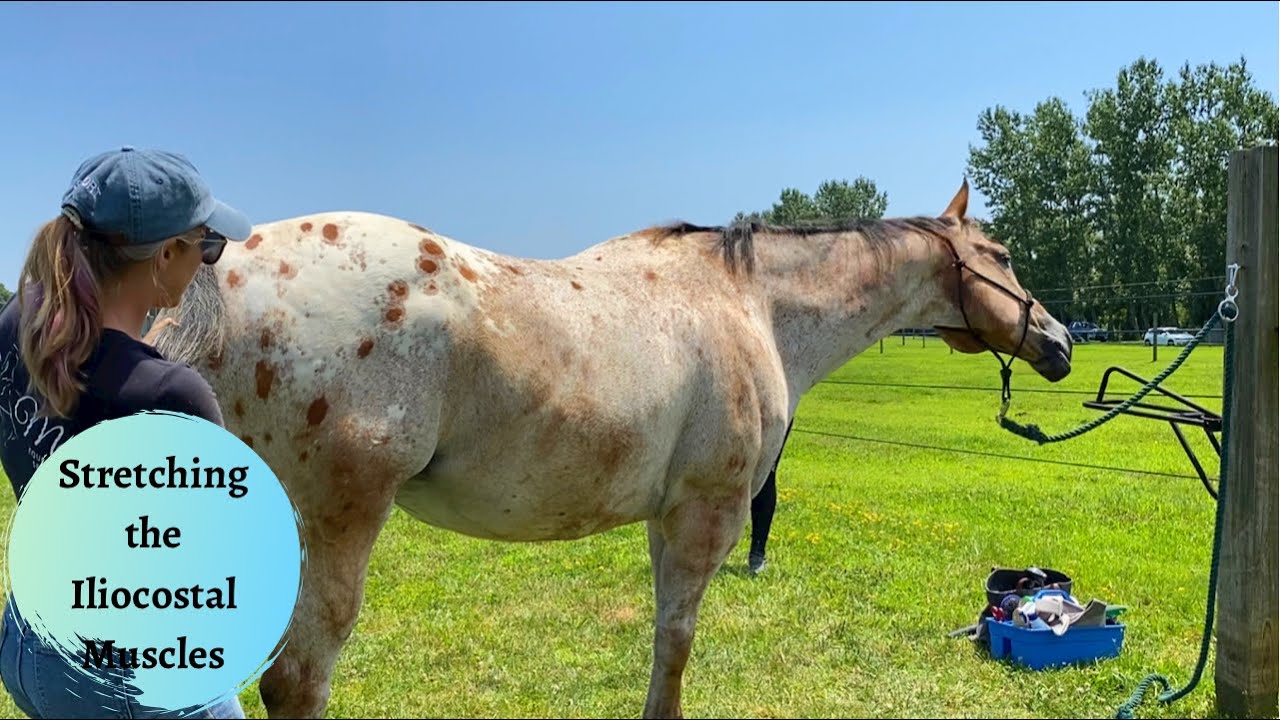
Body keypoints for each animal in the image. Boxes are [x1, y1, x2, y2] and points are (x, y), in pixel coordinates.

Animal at [152, 179, 1073, 719]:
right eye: (1002, 255)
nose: (1060, 341)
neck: (752, 304)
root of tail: (219, 266)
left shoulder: (668, 520)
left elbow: (666, 641)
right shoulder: (705, 516)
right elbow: (677, 643)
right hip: (342, 517)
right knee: (297, 682)